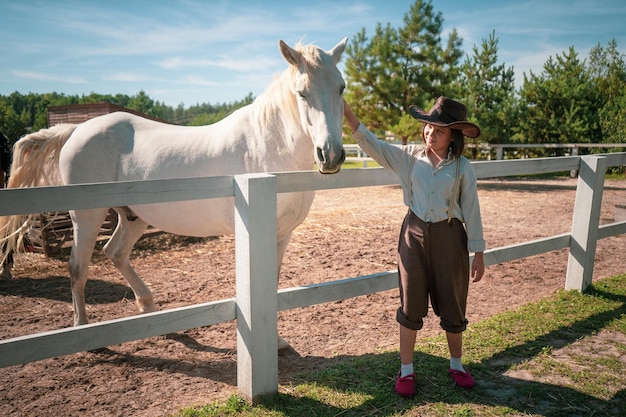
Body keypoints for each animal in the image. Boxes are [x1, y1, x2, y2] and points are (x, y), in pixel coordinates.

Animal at [0, 37, 346, 346]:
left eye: (341, 87)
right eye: (301, 92)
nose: (330, 155)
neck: (268, 146)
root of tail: (76, 129)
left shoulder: (282, 234)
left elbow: (272, 285)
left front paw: (278, 342)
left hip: (133, 217)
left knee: (115, 252)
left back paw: (150, 309)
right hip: (87, 217)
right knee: (77, 267)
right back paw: (84, 331)